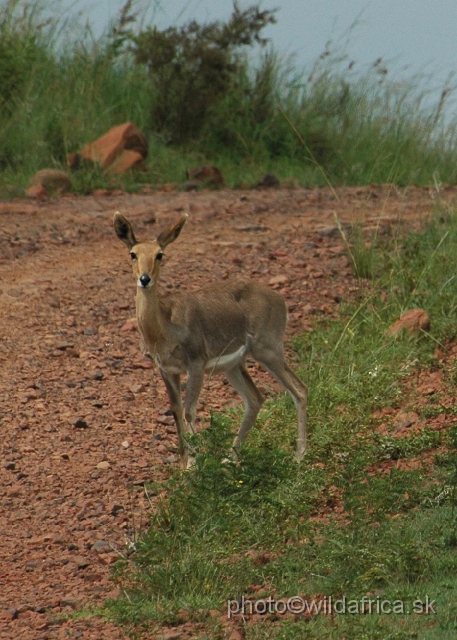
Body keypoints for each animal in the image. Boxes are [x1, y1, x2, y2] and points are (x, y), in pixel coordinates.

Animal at [113, 212, 306, 468]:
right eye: (133, 253)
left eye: (160, 254)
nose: (145, 279)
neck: (165, 329)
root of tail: (280, 300)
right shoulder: (167, 369)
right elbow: (176, 411)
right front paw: (182, 465)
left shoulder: (196, 362)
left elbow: (190, 411)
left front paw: (193, 466)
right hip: (235, 365)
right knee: (256, 398)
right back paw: (229, 459)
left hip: (268, 349)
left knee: (299, 390)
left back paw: (299, 456)